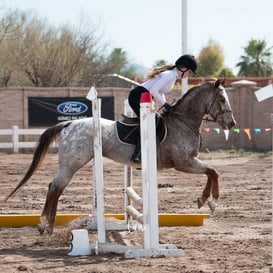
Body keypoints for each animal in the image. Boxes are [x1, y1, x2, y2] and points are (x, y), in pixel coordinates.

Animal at [5, 78, 236, 234]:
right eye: (222, 99)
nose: (231, 123)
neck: (183, 122)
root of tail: (69, 124)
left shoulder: (187, 162)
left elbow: (212, 172)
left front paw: (206, 201)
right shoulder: (184, 162)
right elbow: (213, 172)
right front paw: (209, 201)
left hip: (71, 164)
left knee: (55, 188)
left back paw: (49, 227)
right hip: (72, 164)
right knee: (55, 187)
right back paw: (44, 225)